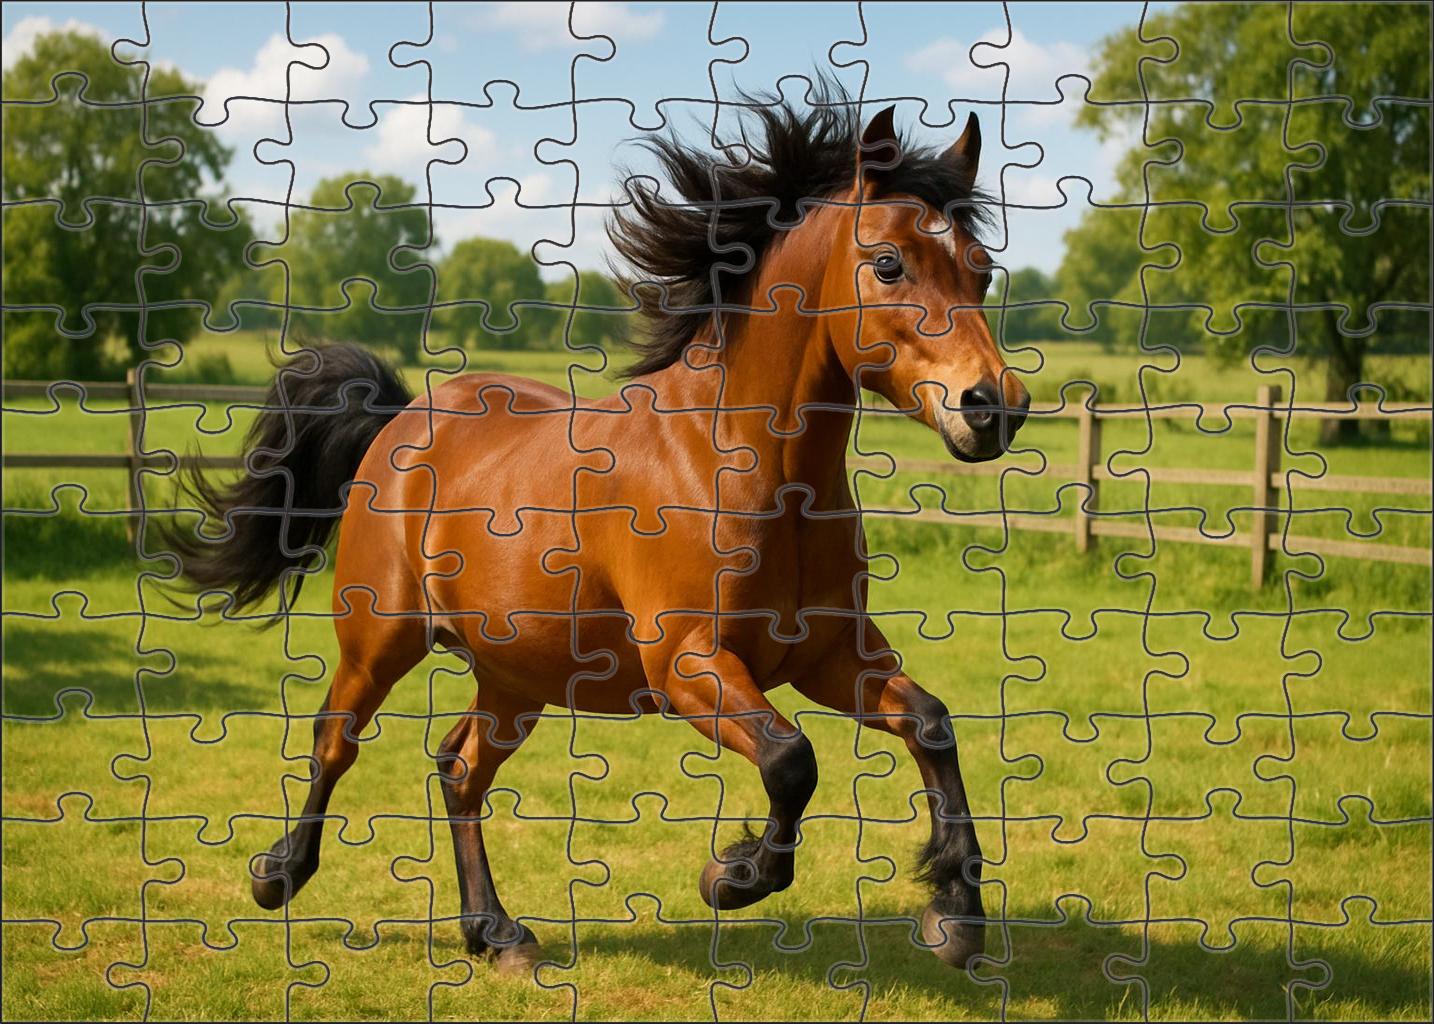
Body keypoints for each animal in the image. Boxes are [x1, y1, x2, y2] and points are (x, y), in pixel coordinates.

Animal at [165, 94, 1030, 973]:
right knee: (335, 739)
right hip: (381, 639)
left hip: (516, 676)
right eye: (888, 264)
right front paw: (733, 877)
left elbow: (931, 724)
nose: (994, 407)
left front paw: (955, 917)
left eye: (983, 269)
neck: (750, 468)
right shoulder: (688, 664)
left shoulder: (830, 656)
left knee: (460, 770)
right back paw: (278, 875)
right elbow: (792, 761)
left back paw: (496, 933)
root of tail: (403, 417)